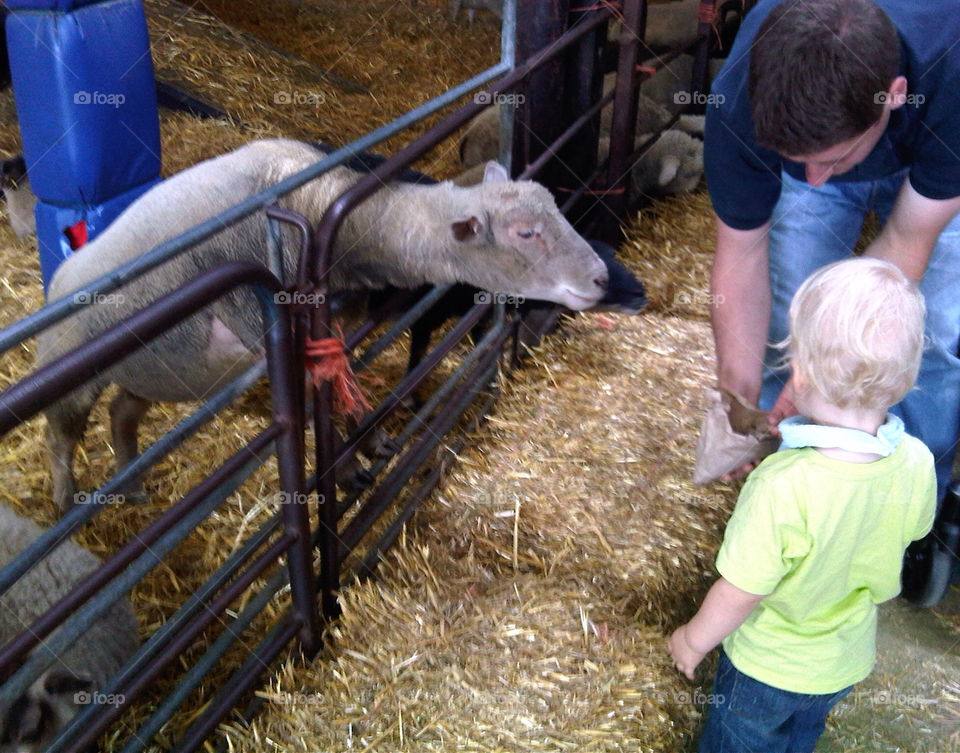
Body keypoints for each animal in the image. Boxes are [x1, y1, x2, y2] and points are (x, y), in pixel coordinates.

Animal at [39, 138, 608, 508]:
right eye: (525, 232)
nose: (602, 278)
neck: (319, 206)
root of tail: (60, 277)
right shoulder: (276, 332)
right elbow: (321, 404)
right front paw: (349, 470)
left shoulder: (333, 325)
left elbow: (343, 381)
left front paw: (371, 443)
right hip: (71, 375)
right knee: (61, 436)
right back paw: (65, 499)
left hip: (158, 371)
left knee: (122, 412)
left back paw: (131, 483)